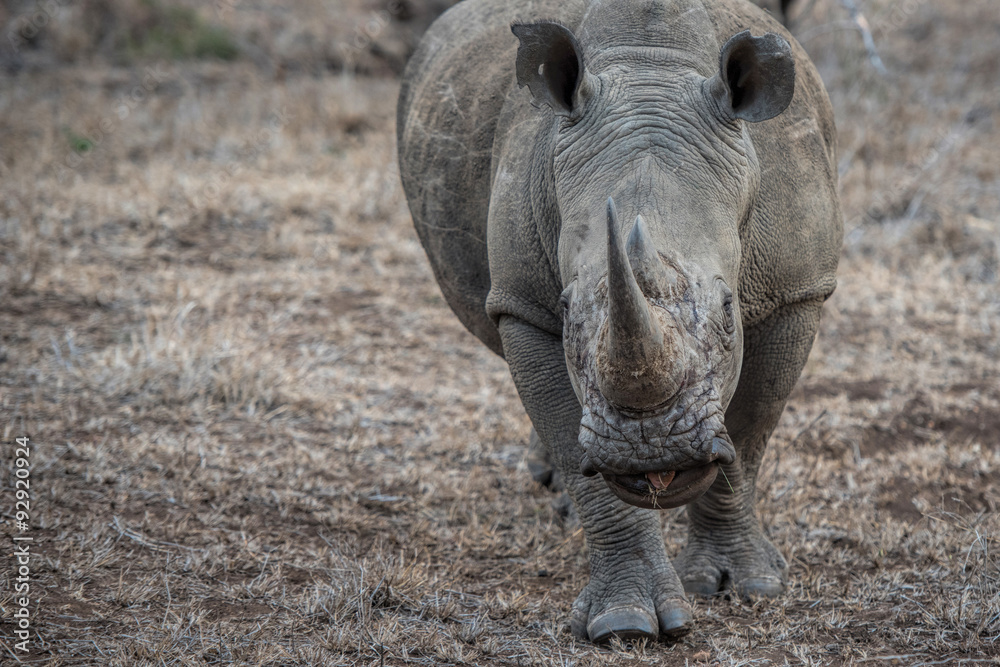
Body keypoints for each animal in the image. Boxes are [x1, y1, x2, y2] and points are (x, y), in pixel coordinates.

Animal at [397, 0, 841, 642]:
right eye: (565, 311)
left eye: (729, 311)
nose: (651, 451)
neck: (653, 66)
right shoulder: (524, 305)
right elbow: (574, 446)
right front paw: (625, 623)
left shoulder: (795, 290)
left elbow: (751, 433)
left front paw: (743, 585)